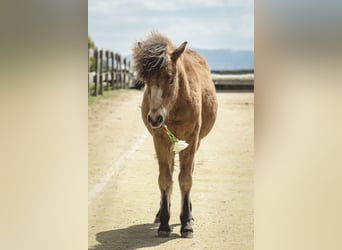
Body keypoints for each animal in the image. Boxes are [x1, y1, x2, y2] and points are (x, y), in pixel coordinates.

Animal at [132, 32, 218, 237]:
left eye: (171, 78)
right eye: (146, 81)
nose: (154, 118)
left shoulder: (191, 141)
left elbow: (186, 179)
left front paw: (186, 222)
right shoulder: (160, 141)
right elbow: (165, 179)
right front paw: (164, 222)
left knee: (189, 172)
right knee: (170, 173)